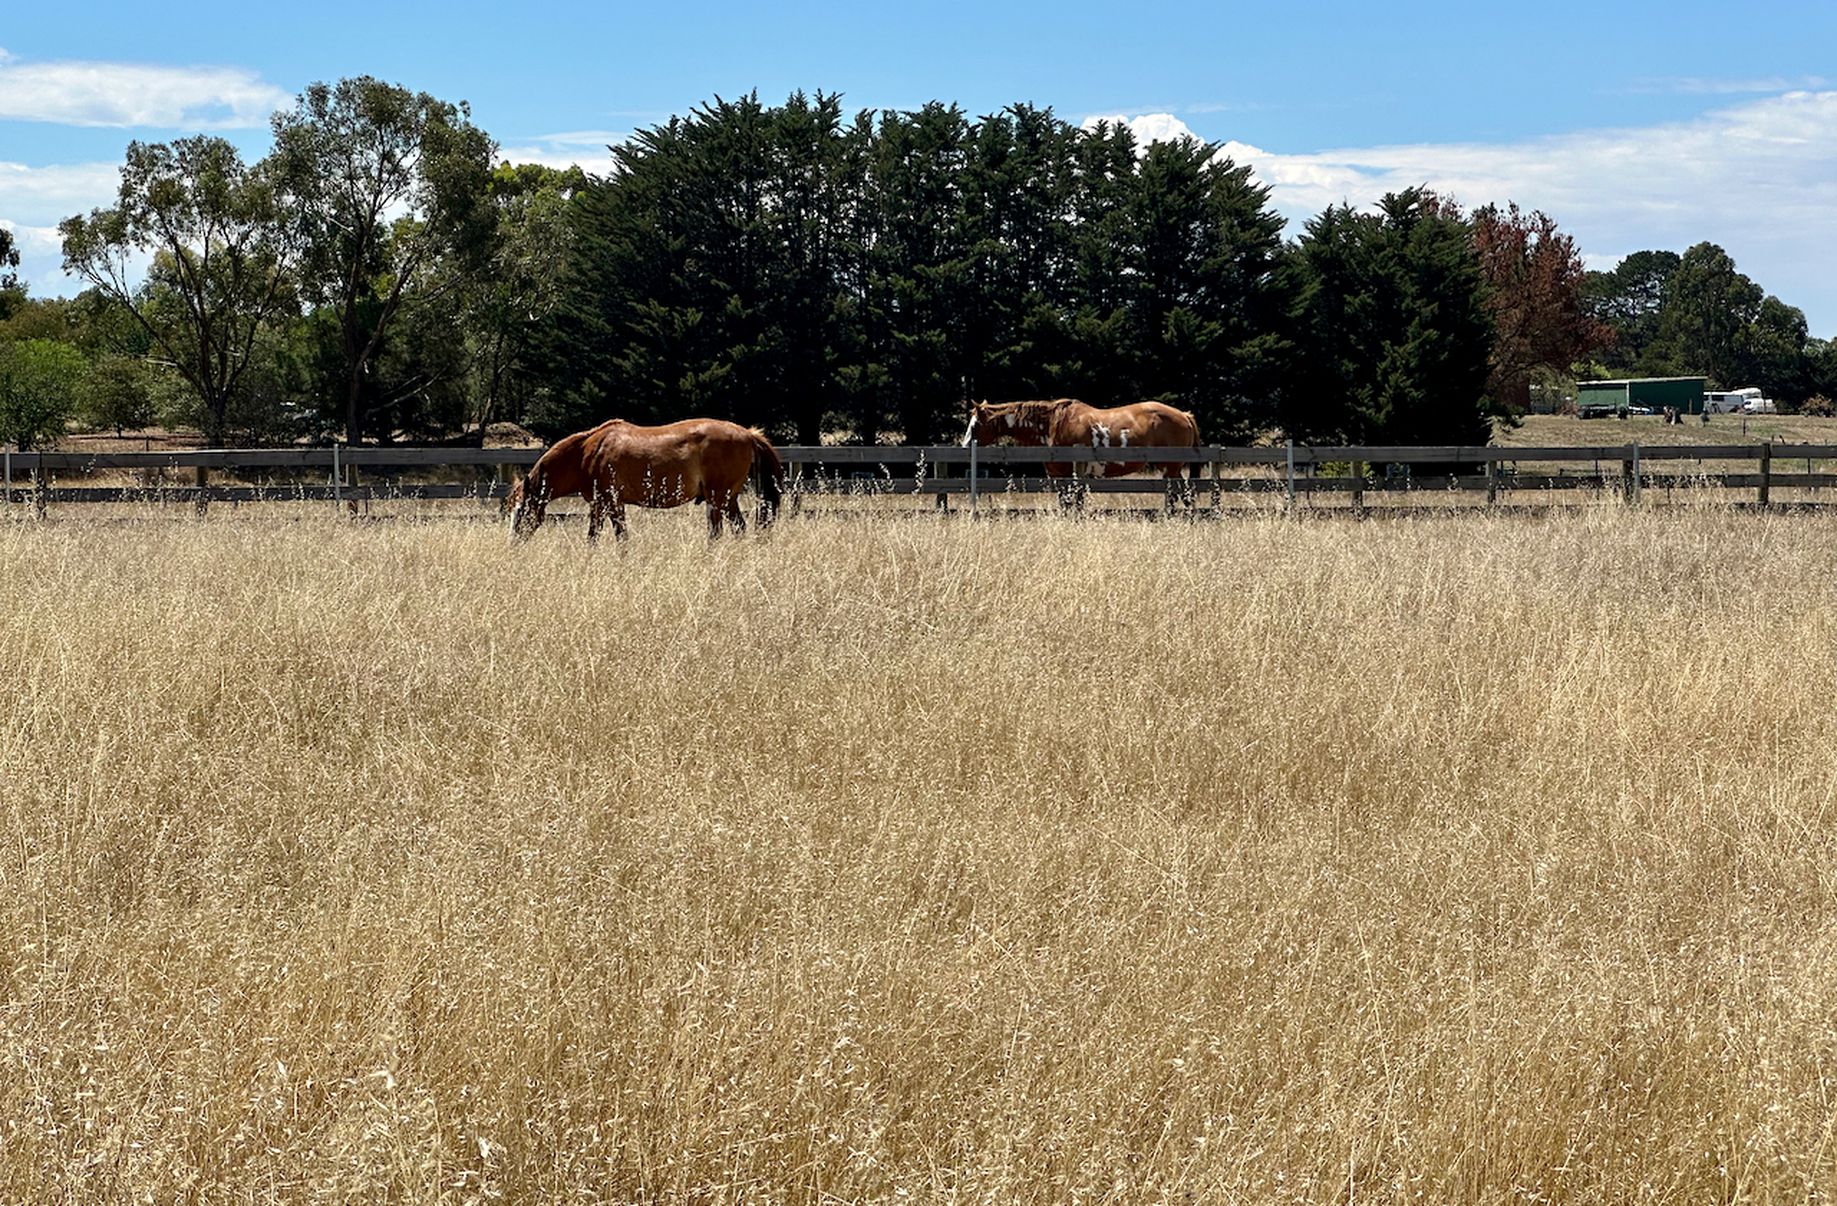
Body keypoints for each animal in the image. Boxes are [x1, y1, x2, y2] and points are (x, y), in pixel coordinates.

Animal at [507, 418, 786, 539]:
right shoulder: (599, 505)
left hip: (718, 499)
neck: (587, 452)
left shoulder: (612, 503)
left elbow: (620, 537)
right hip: (727, 500)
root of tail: (748, 434)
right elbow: (594, 537)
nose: (514, 542)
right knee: (738, 529)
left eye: (522, 511)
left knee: (719, 533)